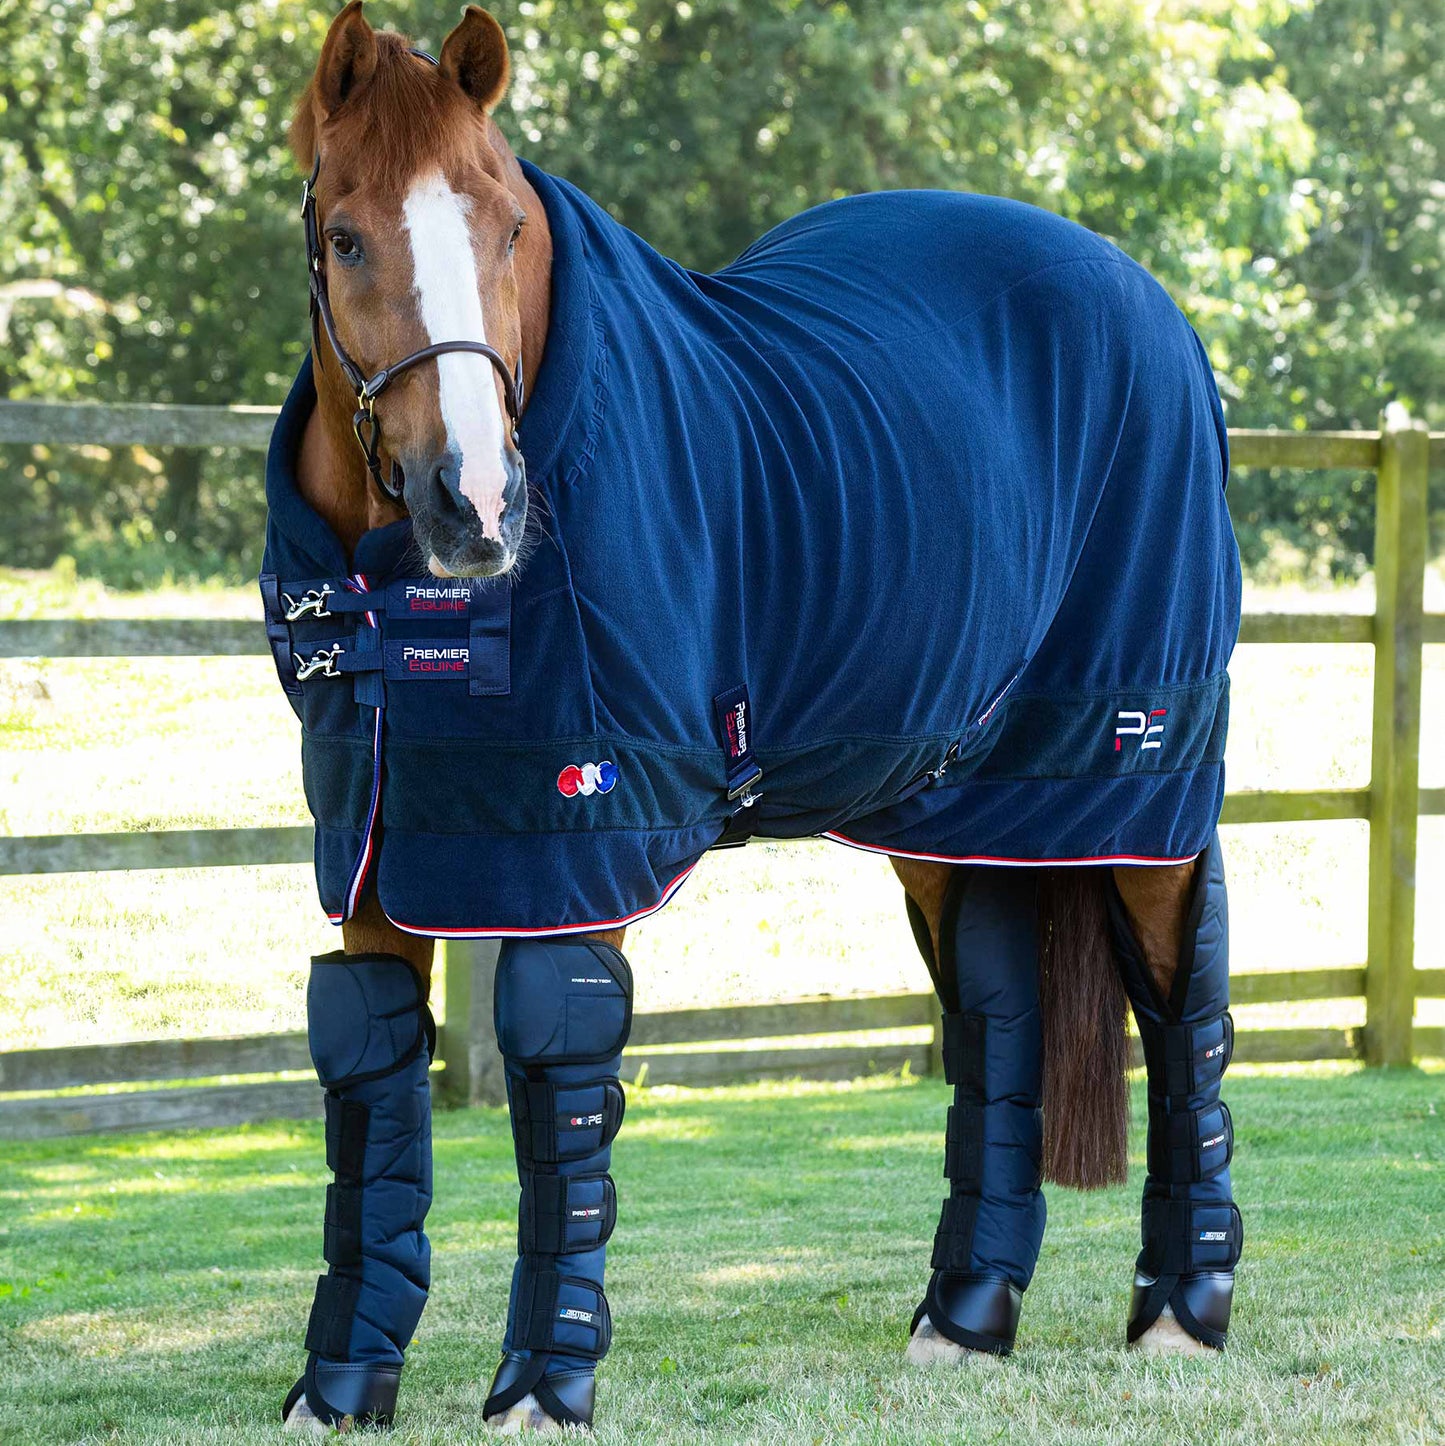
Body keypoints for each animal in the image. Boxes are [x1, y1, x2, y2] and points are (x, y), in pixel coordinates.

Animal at [263, 3, 1242, 1433]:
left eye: (505, 227)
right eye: (343, 235)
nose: (476, 505)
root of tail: (1143, 297)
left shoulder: (579, 836)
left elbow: (558, 1070)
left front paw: (543, 1387)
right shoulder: (378, 847)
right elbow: (370, 1071)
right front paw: (339, 1386)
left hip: (1133, 775)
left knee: (1179, 996)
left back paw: (1182, 1310)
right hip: (953, 796)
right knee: (994, 1008)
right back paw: (964, 1319)